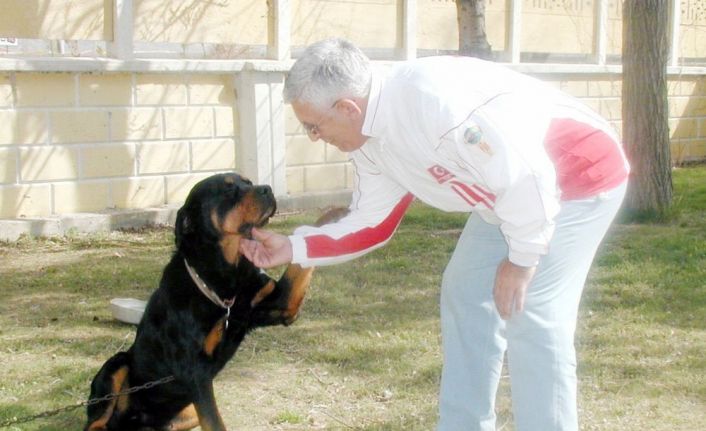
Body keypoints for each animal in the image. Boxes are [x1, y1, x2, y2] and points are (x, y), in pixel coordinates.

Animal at [84, 174, 322, 430]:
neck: (227, 279)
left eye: (248, 182)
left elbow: (298, 272)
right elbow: (214, 421)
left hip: (185, 414)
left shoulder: (281, 305)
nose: (267, 189)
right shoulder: (195, 370)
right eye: (228, 190)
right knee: (96, 422)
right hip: (117, 364)